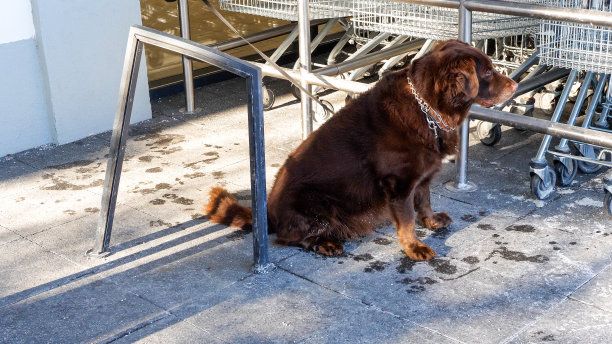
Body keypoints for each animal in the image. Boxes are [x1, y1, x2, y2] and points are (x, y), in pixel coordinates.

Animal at [204, 40, 516, 260]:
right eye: (488, 71)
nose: (514, 84)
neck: (427, 107)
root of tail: (269, 213)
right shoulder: (399, 185)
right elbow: (407, 221)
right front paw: (414, 247)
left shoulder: (422, 176)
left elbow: (425, 200)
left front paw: (431, 220)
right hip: (316, 204)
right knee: (289, 238)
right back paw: (325, 244)